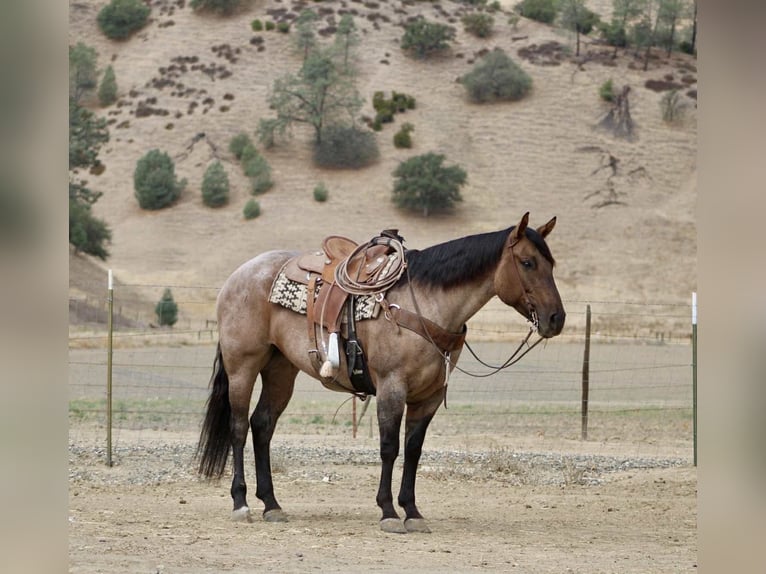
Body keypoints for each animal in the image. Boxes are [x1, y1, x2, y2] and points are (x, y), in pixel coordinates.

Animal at [197, 212, 565, 533]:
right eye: (527, 262)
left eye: (551, 263)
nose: (556, 318)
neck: (426, 304)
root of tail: (237, 276)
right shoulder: (392, 386)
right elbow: (390, 447)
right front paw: (388, 512)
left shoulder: (429, 396)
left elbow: (413, 450)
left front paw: (412, 512)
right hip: (243, 365)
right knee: (239, 427)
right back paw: (241, 503)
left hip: (280, 370)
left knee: (263, 425)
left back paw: (272, 505)